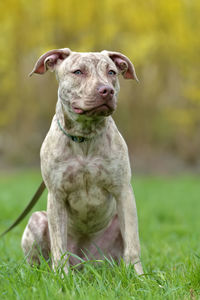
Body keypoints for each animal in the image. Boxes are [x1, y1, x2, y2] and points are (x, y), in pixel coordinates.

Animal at [21, 48, 143, 276]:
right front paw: (61, 277)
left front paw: (139, 277)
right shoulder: (56, 196)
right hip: (37, 219)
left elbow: (133, 244)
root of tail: (85, 264)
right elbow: (58, 245)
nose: (106, 90)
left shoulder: (123, 191)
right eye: (78, 72)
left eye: (112, 72)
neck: (84, 137)